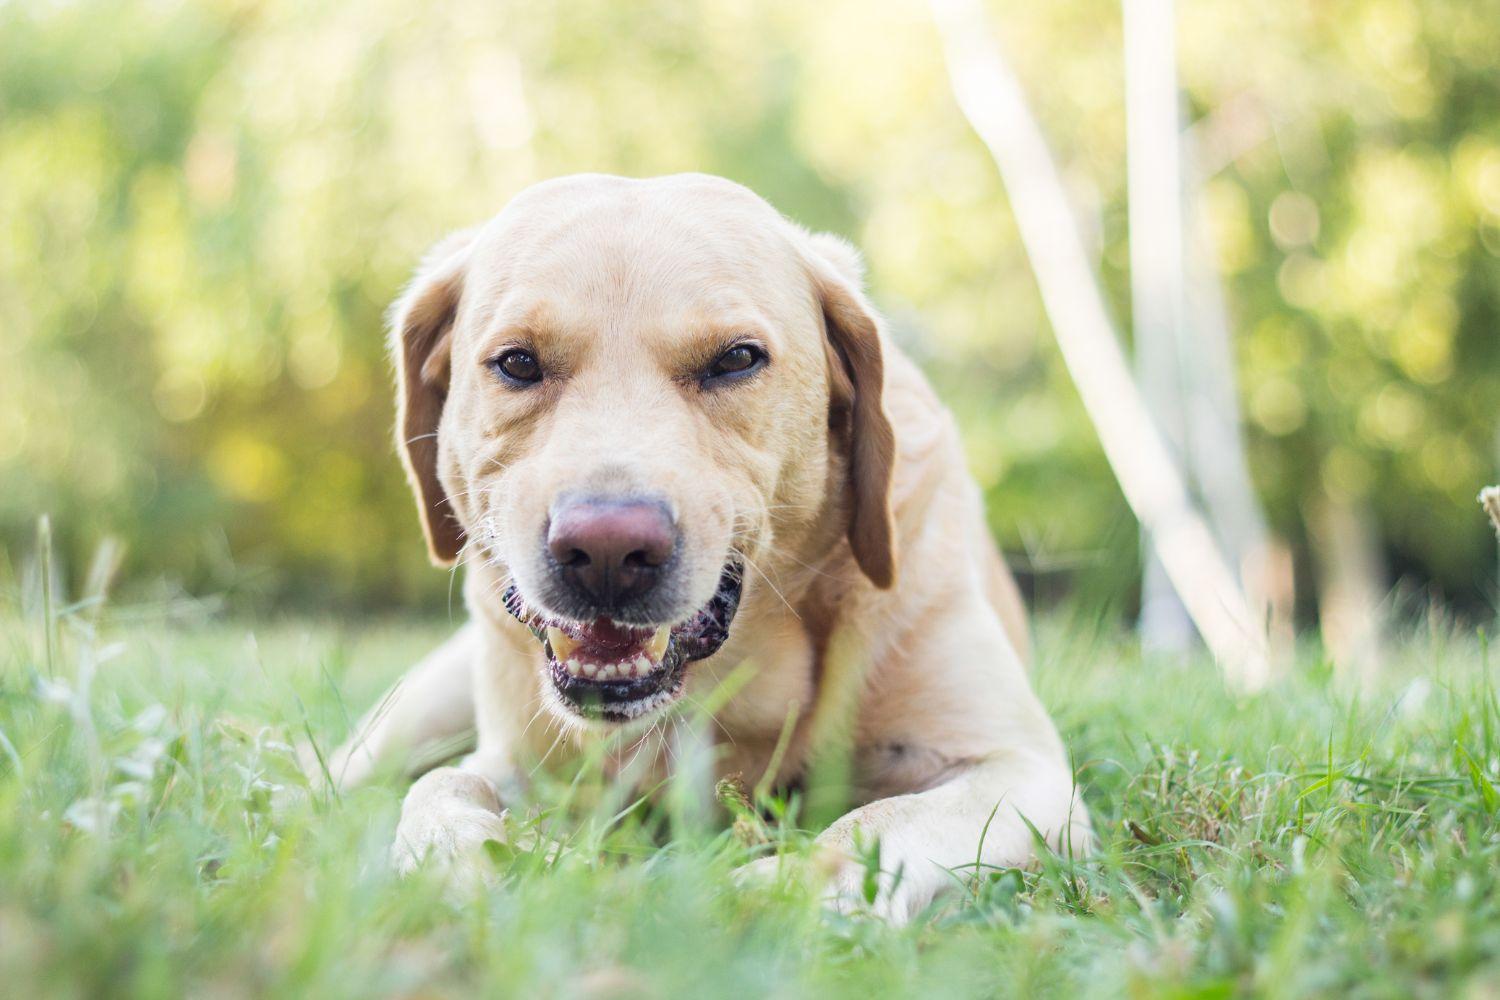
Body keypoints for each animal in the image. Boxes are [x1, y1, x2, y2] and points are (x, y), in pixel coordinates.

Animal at [331, 173, 1092, 923]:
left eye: (736, 359)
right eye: (517, 362)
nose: (606, 551)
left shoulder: (1022, 772)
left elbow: (872, 823)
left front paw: (783, 890)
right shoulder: (515, 763)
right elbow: (441, 789)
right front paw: (460, 860)